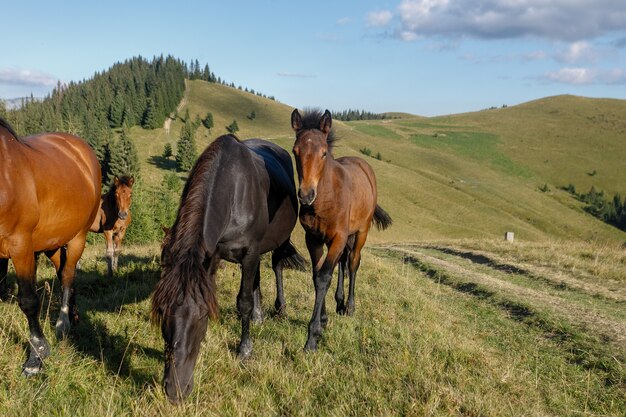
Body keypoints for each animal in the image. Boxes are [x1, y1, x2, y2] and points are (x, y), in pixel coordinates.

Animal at [0, 116, 101, 374]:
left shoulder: (20, 246)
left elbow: (28, 300)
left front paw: (36, 356)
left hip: (77, 237)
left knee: (67, 276)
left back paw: (63, 323)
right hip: (52, 244)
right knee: (63, 270)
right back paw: (74, 316)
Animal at [152, 135, 306, 402]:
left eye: (202, 316)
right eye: (162, 311)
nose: (175, 391)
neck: (232, 192)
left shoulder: (250, 251)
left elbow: (243, 301)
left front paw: (244, 350)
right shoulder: (213, 255)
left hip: (279, 241)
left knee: (276, 266)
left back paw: (279, 309)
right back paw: (258, 316)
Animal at [288, 108, 390, 352]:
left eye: (324, 153)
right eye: (295, 151)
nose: (305, 195)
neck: (326, 198)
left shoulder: (338, 237)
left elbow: (325, 276)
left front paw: (312, 337)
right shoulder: (313, 238)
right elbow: (317, 275)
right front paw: (323, 320)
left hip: (361, 231)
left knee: (352, 263)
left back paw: (350, 306)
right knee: (343, 262)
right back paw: (340, 302)